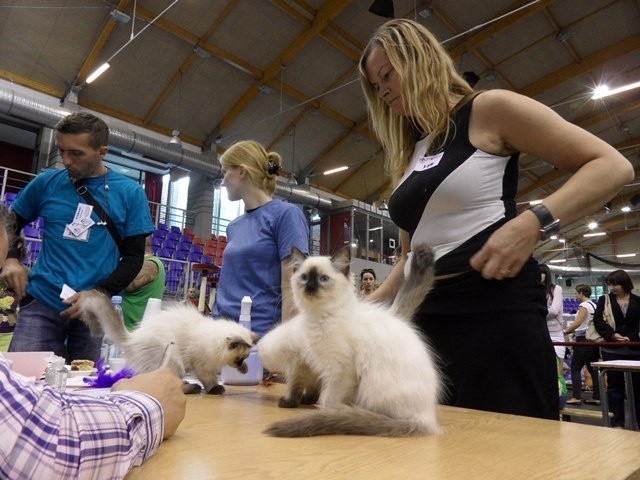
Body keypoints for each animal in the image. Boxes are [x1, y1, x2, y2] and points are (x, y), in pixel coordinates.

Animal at [77, 292, 252, 394]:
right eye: (239, 358)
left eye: (244, 358)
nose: (241, 365)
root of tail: (132, 337)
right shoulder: (202, 365)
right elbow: (210, 380)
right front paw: (215, 389)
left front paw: (244, 370)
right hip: (175, 364)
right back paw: (192, 387)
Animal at [260, 246, 440, 436]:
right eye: (304, 277)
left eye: (323, 279)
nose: (310, 287)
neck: (320, 316)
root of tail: (427, 420)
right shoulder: (320, 365)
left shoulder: (339, 370)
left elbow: (328, 399)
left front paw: (323, 412)